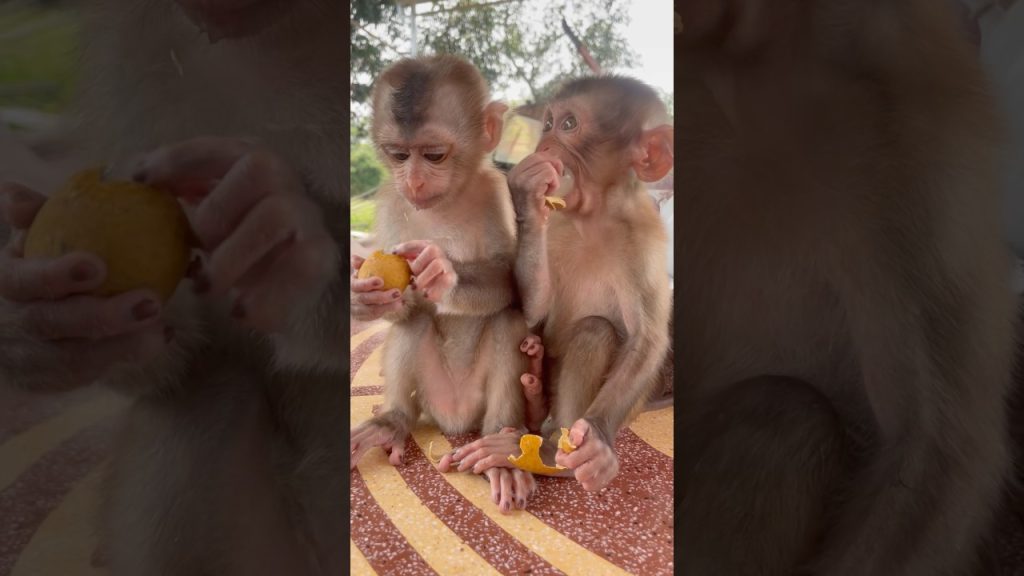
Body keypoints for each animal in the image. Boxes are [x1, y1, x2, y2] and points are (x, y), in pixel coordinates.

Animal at [348, 54, 538, 514]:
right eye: (399, 155)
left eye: (434, 155)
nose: (414, 181)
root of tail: (452, 418)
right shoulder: (389, 202)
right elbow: (402, 304)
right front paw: (362, 301)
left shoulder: (495, 190)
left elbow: (511, 285)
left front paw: (443, 274)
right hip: (429, 397)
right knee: (413, 323)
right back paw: (393, 421)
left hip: (476, 405)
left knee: (507, 320)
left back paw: (501, 448)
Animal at [447, 75, 674, 493]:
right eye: (548, 124)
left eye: (569, 125)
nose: (543, 145)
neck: (592, 217)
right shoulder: (557, 224)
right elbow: (533, 309)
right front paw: (526, 197)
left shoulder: (644, 241)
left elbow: (646, 339)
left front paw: (597, 441)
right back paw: (534, 390)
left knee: (595, 331)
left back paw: (555, 454)